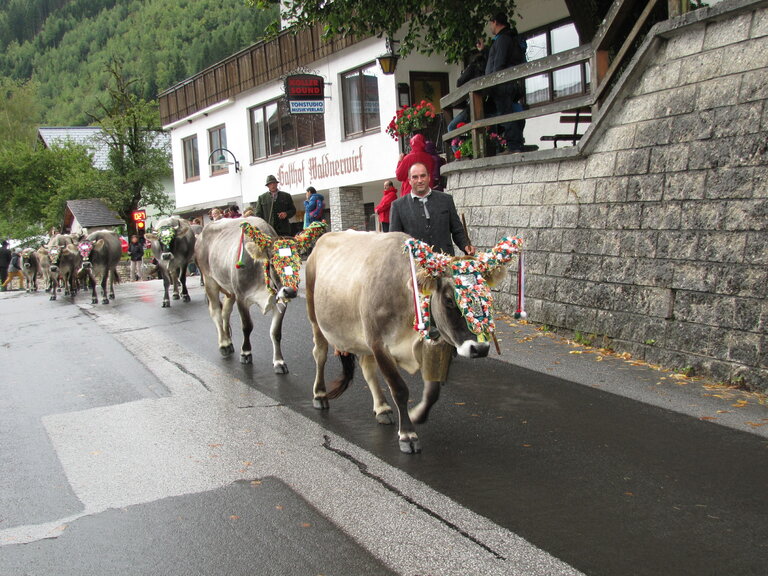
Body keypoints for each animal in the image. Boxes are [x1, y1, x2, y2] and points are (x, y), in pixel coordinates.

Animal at [194, 218, 326, 372]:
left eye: (298, 263)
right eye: (273, 263)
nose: (290, 291)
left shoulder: (280, 301)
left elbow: (276, 333)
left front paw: (279, 361)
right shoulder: (241, 298)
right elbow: (247, 327)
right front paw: (246, 353)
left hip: (229, 289)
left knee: (225, 311)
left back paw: (228, 341)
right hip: (209, 280)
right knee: (215, 312)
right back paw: (224, 344)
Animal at [304, 231, 520, 454]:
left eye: (488, 298)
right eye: (449, 300)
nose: (480, 348)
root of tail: (324, 238)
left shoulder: (429, 345)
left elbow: (433, 391)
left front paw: (417, 415)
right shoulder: (379, 344)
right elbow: (400, 389)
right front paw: (407, 435)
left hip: (362, 336)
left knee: (367, 368)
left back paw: (382, 408)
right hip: (315, 318)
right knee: (319, 354)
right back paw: (320, 395)